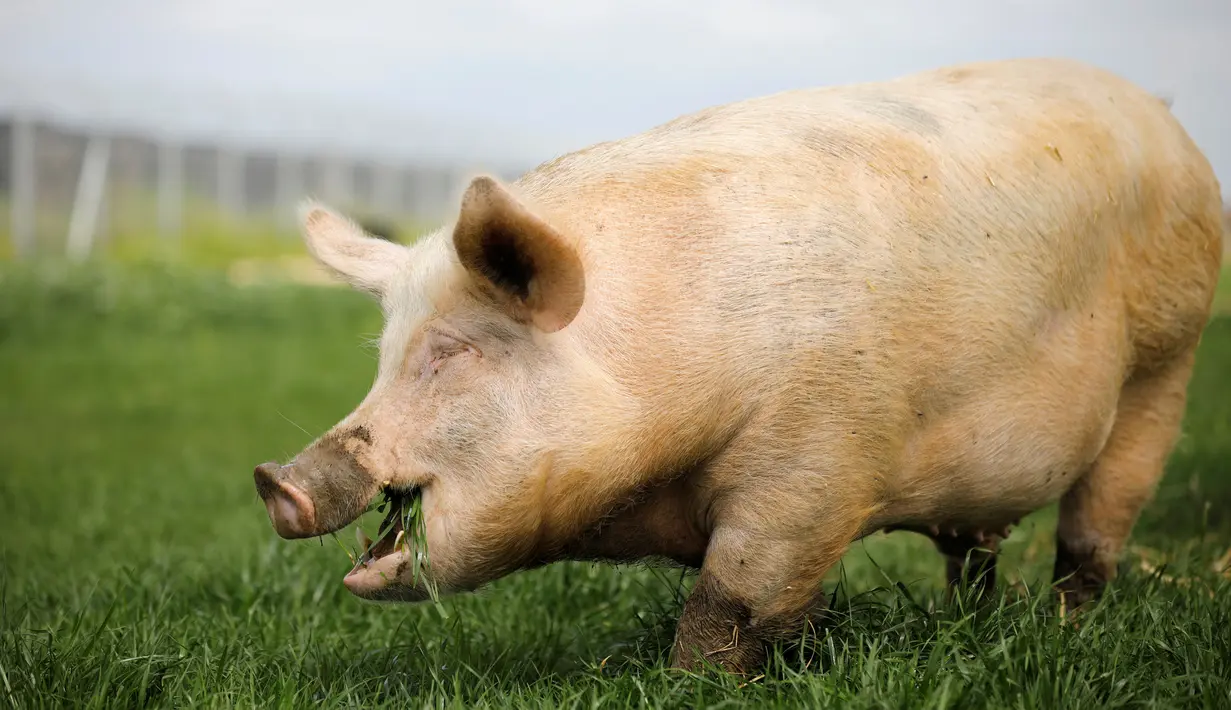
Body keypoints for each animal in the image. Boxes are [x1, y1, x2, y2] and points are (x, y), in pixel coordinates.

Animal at [249, 58, 1221, 674]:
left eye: (452, 352)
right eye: (384, 355)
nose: (276, 480)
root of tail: (1166, 120)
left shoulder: (818, 458)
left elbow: (731, 599)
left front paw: (695, 684)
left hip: (1166, 362)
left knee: (1093, 531)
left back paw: (1064, 629)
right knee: (974, 550)